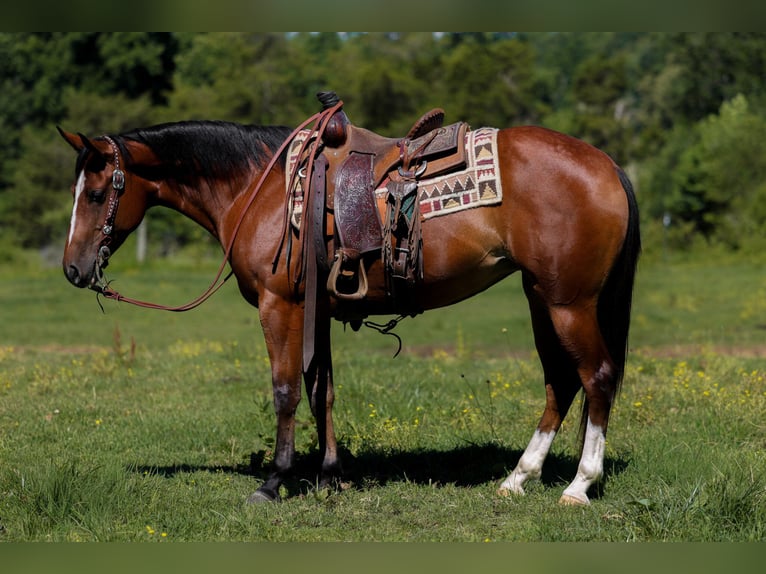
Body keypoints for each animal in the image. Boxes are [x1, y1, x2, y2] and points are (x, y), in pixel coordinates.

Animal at [58, 98, 640, 506]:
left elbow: (286, 391)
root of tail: (607, 164)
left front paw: (274, 481)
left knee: (596, 377)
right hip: (542, 297)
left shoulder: (280, 306)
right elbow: (324, 394)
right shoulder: (316, 310)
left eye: (96, 194)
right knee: (561, 381)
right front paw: (331, 477)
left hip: (570, 304)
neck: (259, 189)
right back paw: (519, 477)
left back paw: (579, 485)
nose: (73, 269)